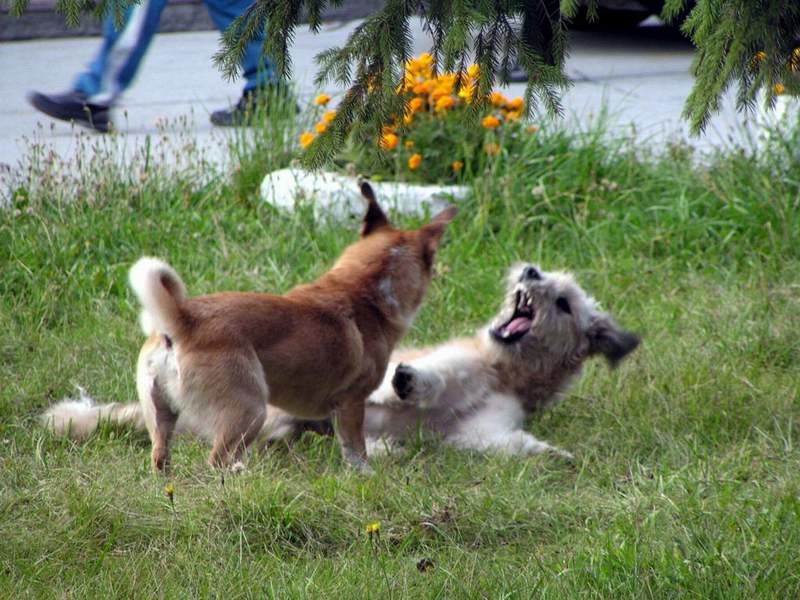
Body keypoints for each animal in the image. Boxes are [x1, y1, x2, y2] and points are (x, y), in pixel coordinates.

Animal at [43, 180, 456, 472]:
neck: (364, 290)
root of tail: (183, 322)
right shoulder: (351, 404)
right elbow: (355, 449)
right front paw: (365, 475)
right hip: (249, 410)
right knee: (217, 460)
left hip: (161, 415)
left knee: (160, 458)